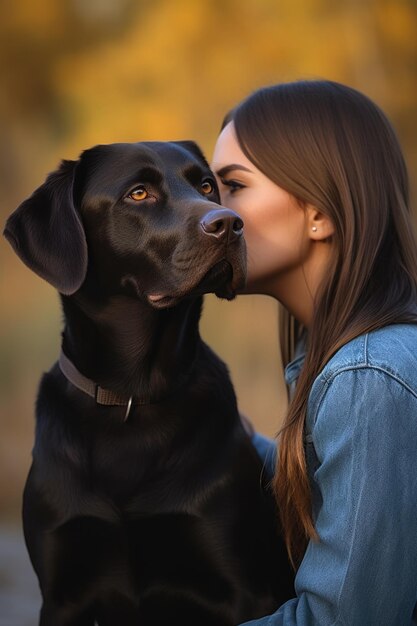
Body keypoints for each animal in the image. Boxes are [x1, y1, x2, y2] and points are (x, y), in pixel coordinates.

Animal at [4, 141, 294, 624]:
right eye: (138, 194)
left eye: (207, 185)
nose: (229, 224)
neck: (133, 394)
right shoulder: (62, 594)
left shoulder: (246, 591)